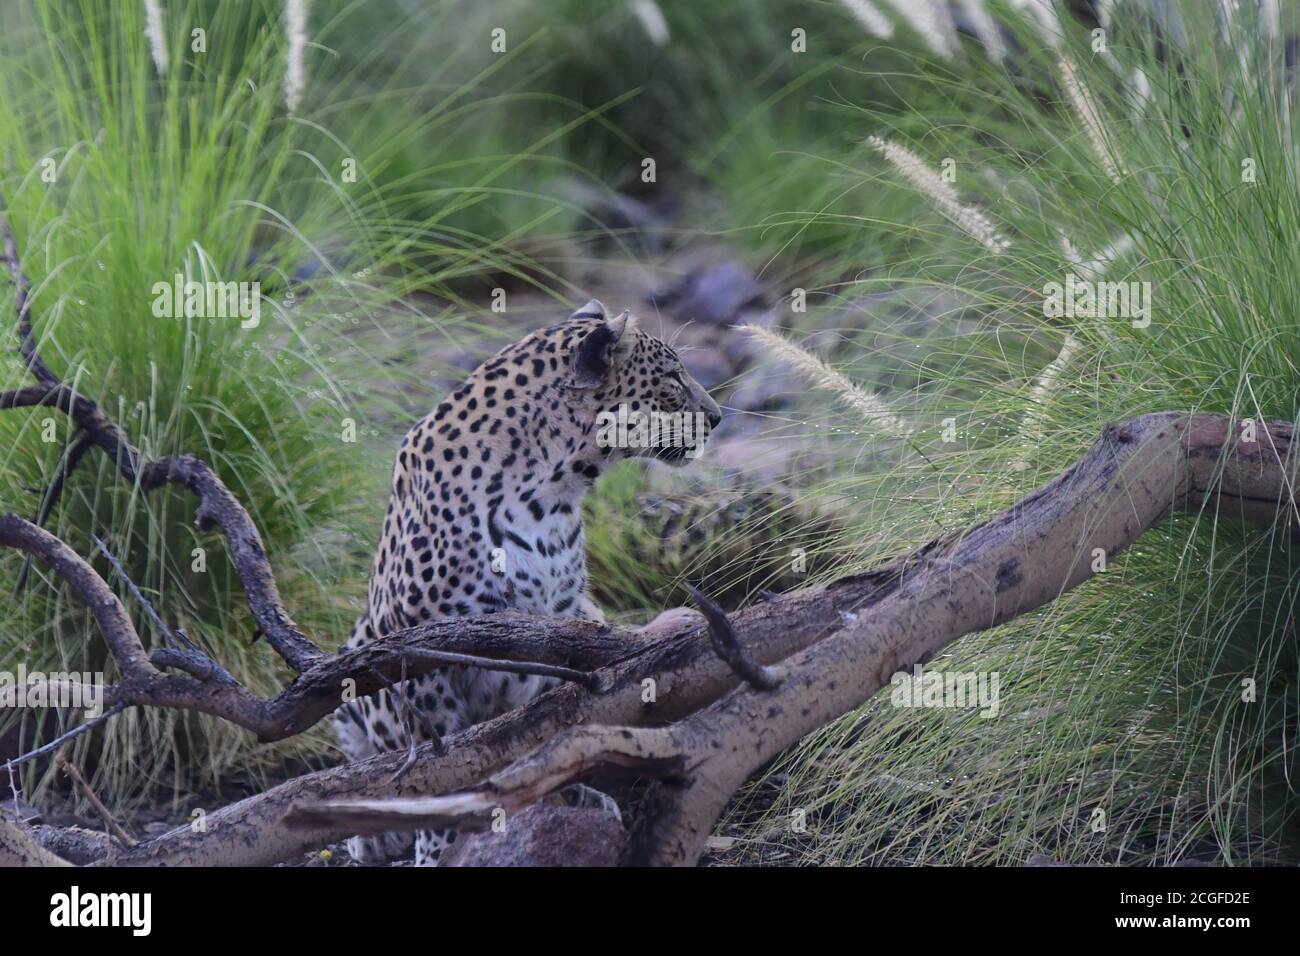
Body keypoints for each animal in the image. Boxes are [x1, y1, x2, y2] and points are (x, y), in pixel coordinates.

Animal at [332, 299, 722, 868]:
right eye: (672, 377)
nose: (717, 417)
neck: (550, 494)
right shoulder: (419, 646)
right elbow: (437, 756)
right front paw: (438, 842)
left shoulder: (558, 627)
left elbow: (546, 726)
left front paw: (563, 793)